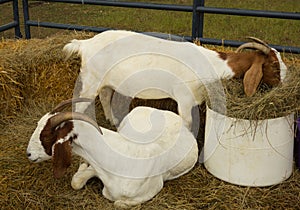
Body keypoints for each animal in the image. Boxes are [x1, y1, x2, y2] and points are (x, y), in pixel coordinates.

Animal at [26, 99, 199, 208]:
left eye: (45, 136)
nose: (28, 154)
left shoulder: (153, 188)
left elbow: (117, 202)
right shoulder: (97, 168)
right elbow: (76, 182)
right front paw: (82, 166)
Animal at [62, 30, 286, 128]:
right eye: (274, 65)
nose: (285, 83)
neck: (211, 63)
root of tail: (85, 43)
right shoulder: (184, 99)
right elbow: (187, 123)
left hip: (106, 81)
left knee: (105, 97)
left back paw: (113, 120)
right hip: (91, 81)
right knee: (80, 104)